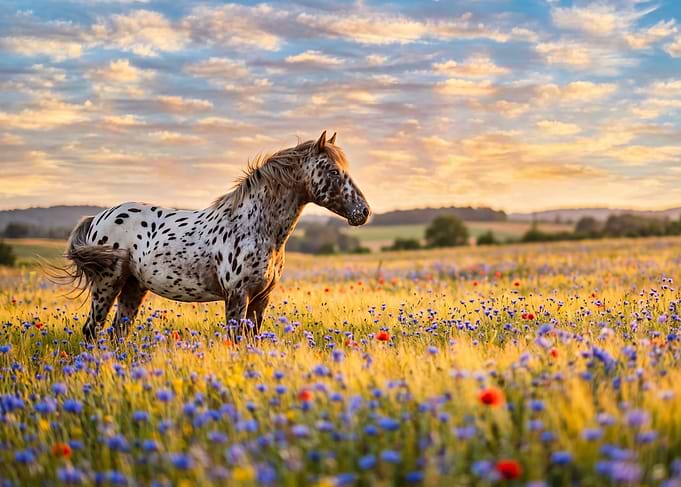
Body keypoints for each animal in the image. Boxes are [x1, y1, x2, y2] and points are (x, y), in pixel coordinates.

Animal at [60, 131, 370, 341]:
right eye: (333, 171)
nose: (363, 212)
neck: (257, 228)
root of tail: (98, 217)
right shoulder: (237, 297)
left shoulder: (261, 299)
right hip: (107, 284)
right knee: (92, 330)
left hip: (134, 286)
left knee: (118, 331)